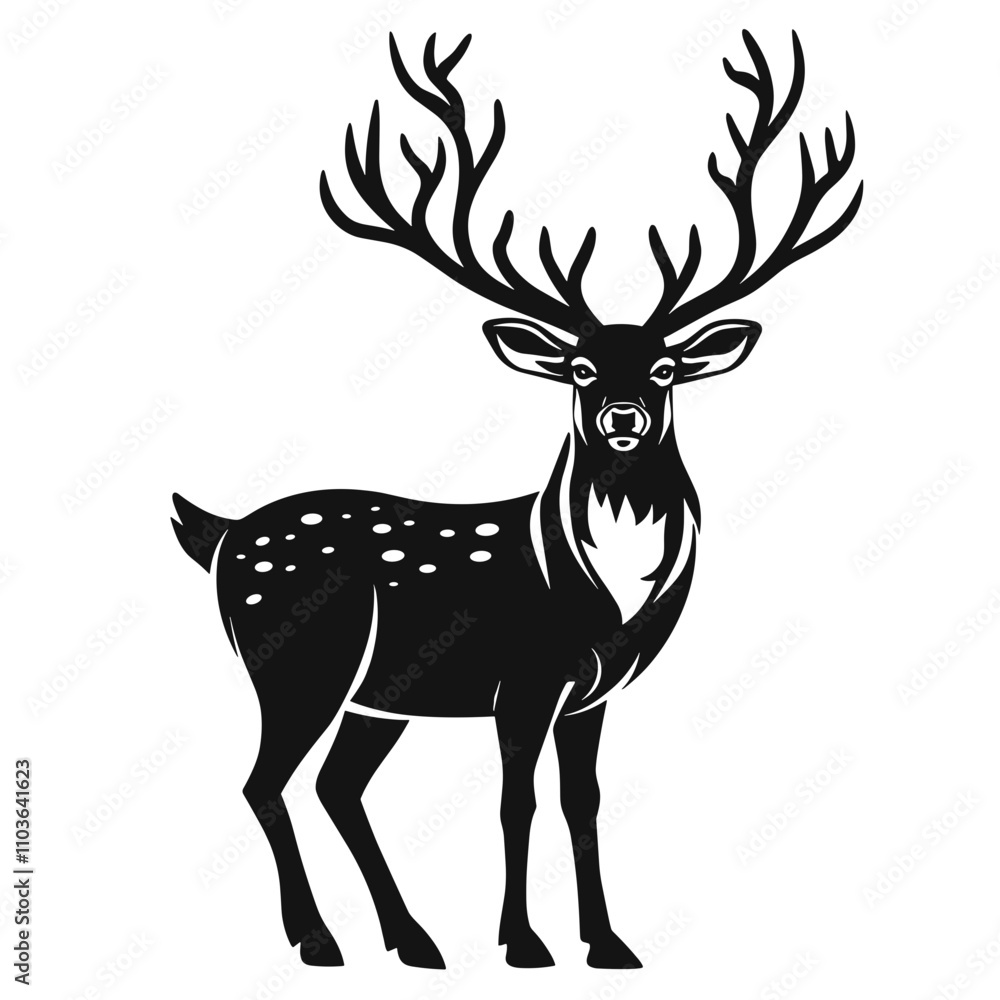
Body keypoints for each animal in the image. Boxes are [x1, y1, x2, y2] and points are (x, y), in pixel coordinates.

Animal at [172, 30, 861, 969]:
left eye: (664, 368)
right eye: (580, 368)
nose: (621, 417)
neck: (607, 599)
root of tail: (220, 533)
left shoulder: (591, 694)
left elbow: (583, 800)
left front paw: (607, 943)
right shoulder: (524, 679)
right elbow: (515, 800)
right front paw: (524, 943)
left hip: (376, 696)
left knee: (337, 785)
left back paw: (412, 939)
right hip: (295, 659)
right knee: (262, 781)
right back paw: (318, 940)